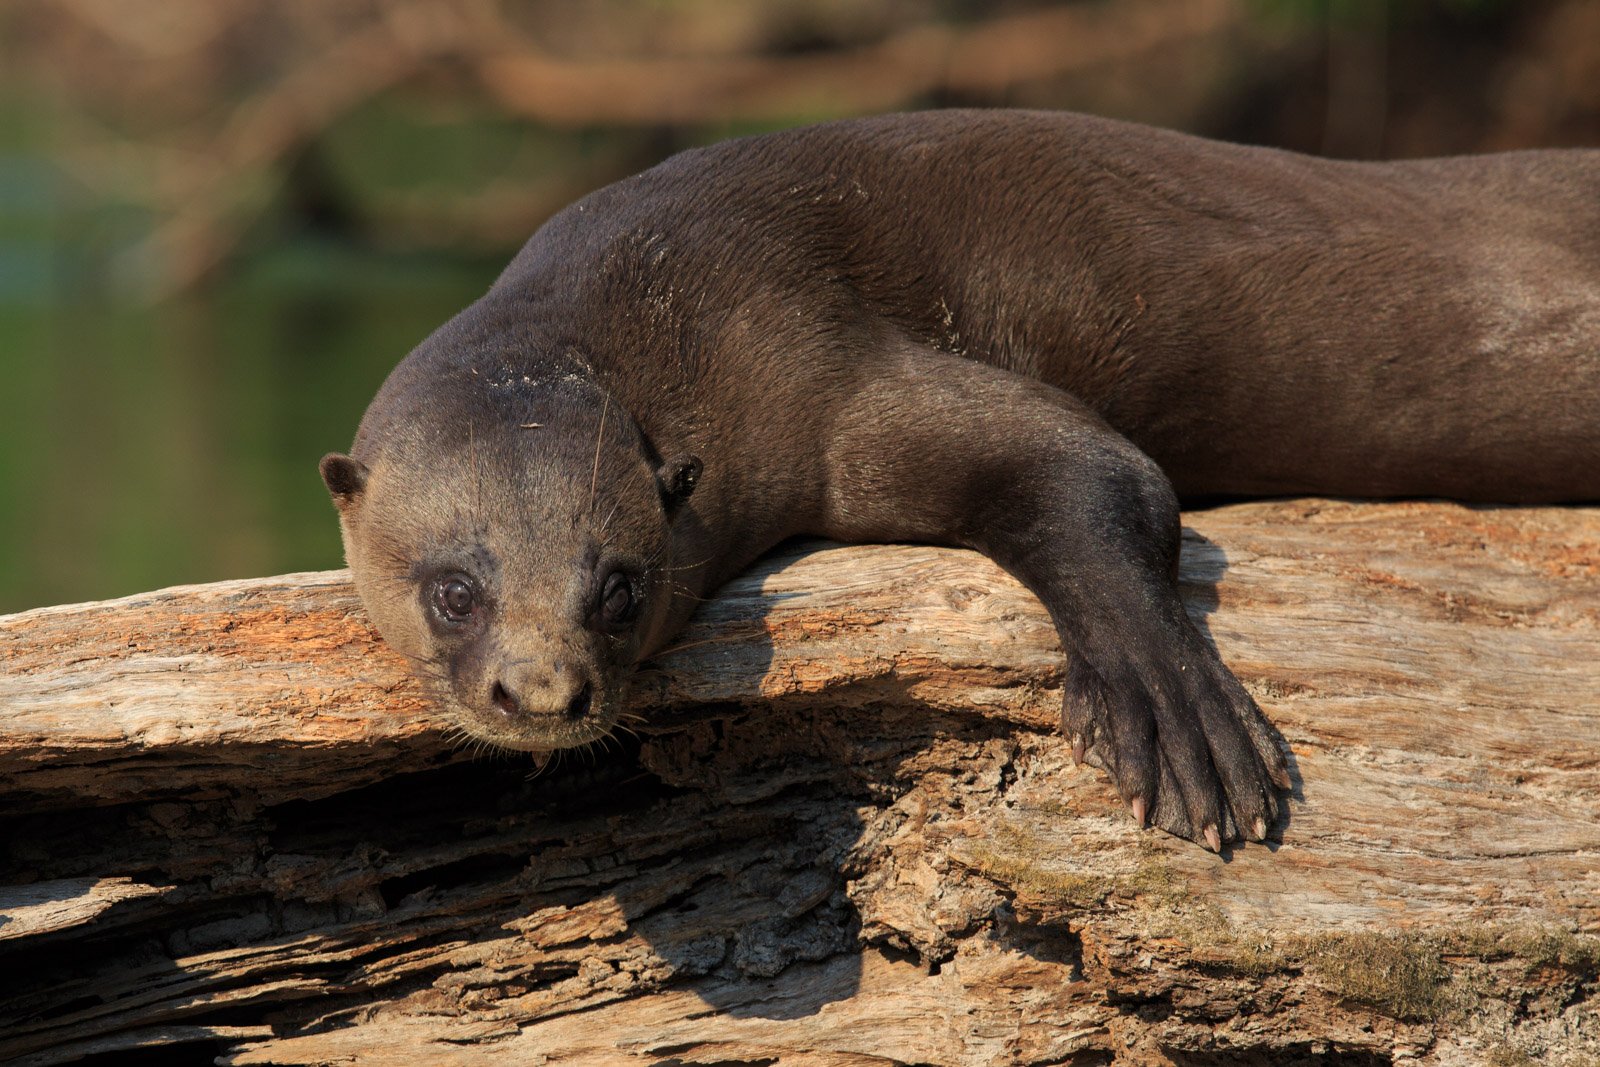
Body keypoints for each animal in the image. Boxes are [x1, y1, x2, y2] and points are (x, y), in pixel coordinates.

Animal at [322, 110, 1600, 852]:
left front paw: (1165, 700)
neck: (665, 300)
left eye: (621, 586)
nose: (542, 692)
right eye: (455, 591)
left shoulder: (806, 354)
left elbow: (1098, 470)